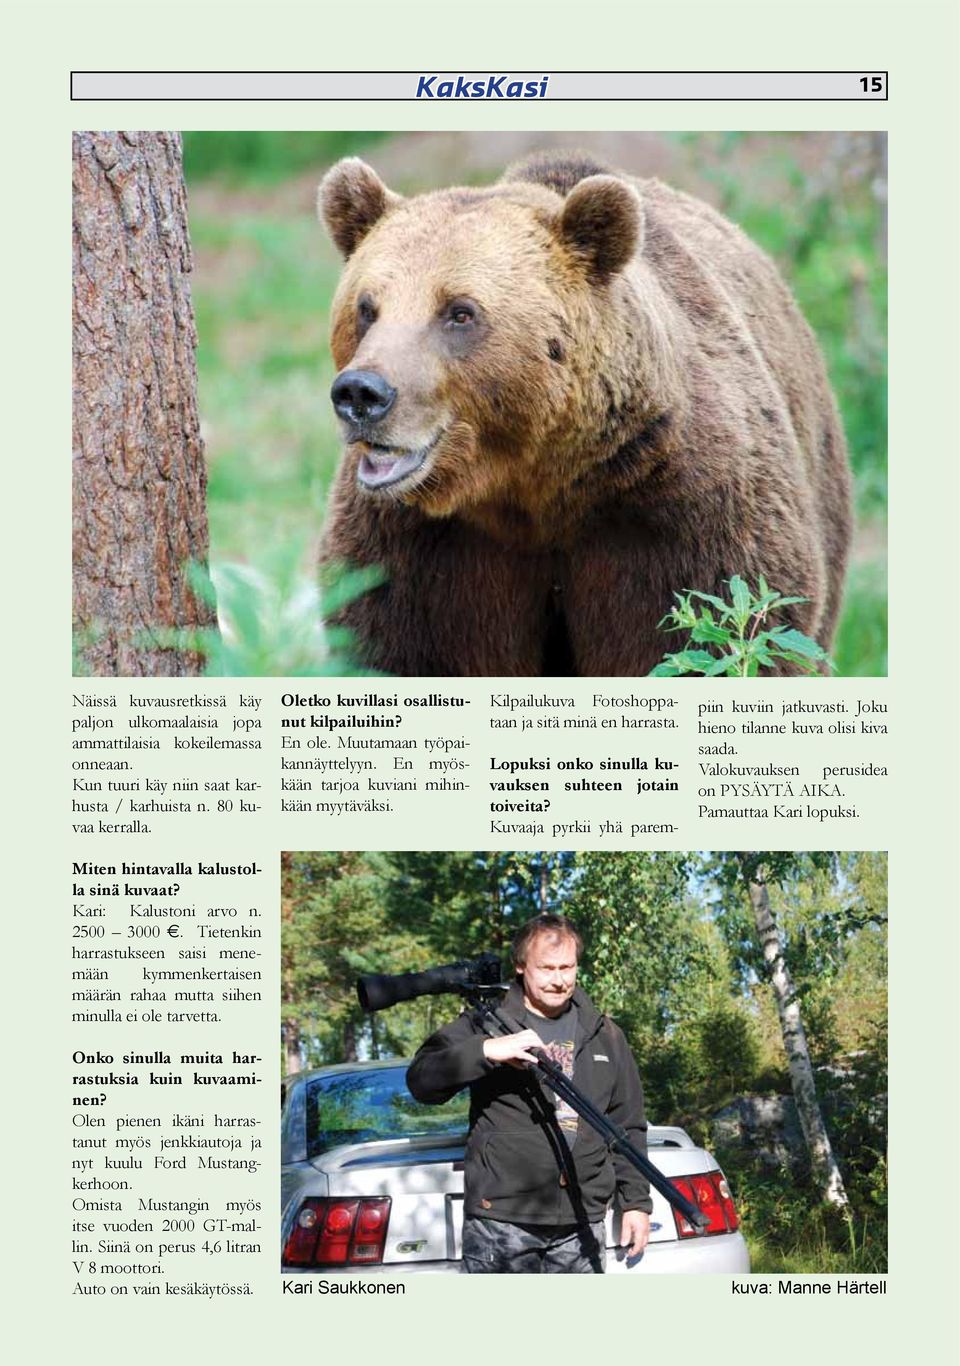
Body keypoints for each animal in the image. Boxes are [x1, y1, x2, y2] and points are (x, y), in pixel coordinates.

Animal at [319, 150, 852, 677]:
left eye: (460, 311)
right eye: (366, 307)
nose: (361, 393)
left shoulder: (682, 517)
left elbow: (715, 634)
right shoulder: (422, 552)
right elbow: (400, 646)